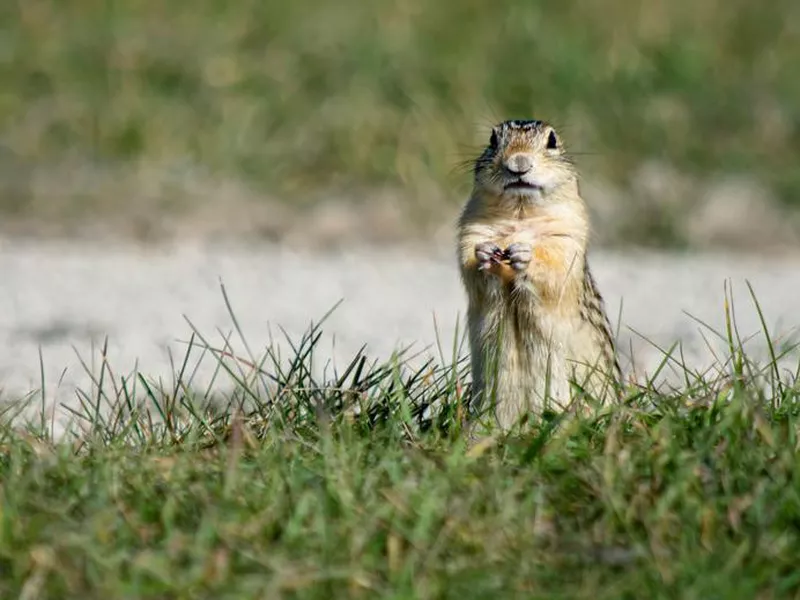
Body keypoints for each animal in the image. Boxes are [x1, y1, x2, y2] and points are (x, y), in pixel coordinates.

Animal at [456, 119, 620, 428]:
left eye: (552, 140)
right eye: (493, 139)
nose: (518, 163)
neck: (520, 214)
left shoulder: (568, 236)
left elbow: (554, 266)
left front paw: (525, 255)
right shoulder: (470, 231)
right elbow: (470, 263)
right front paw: (485, 253)